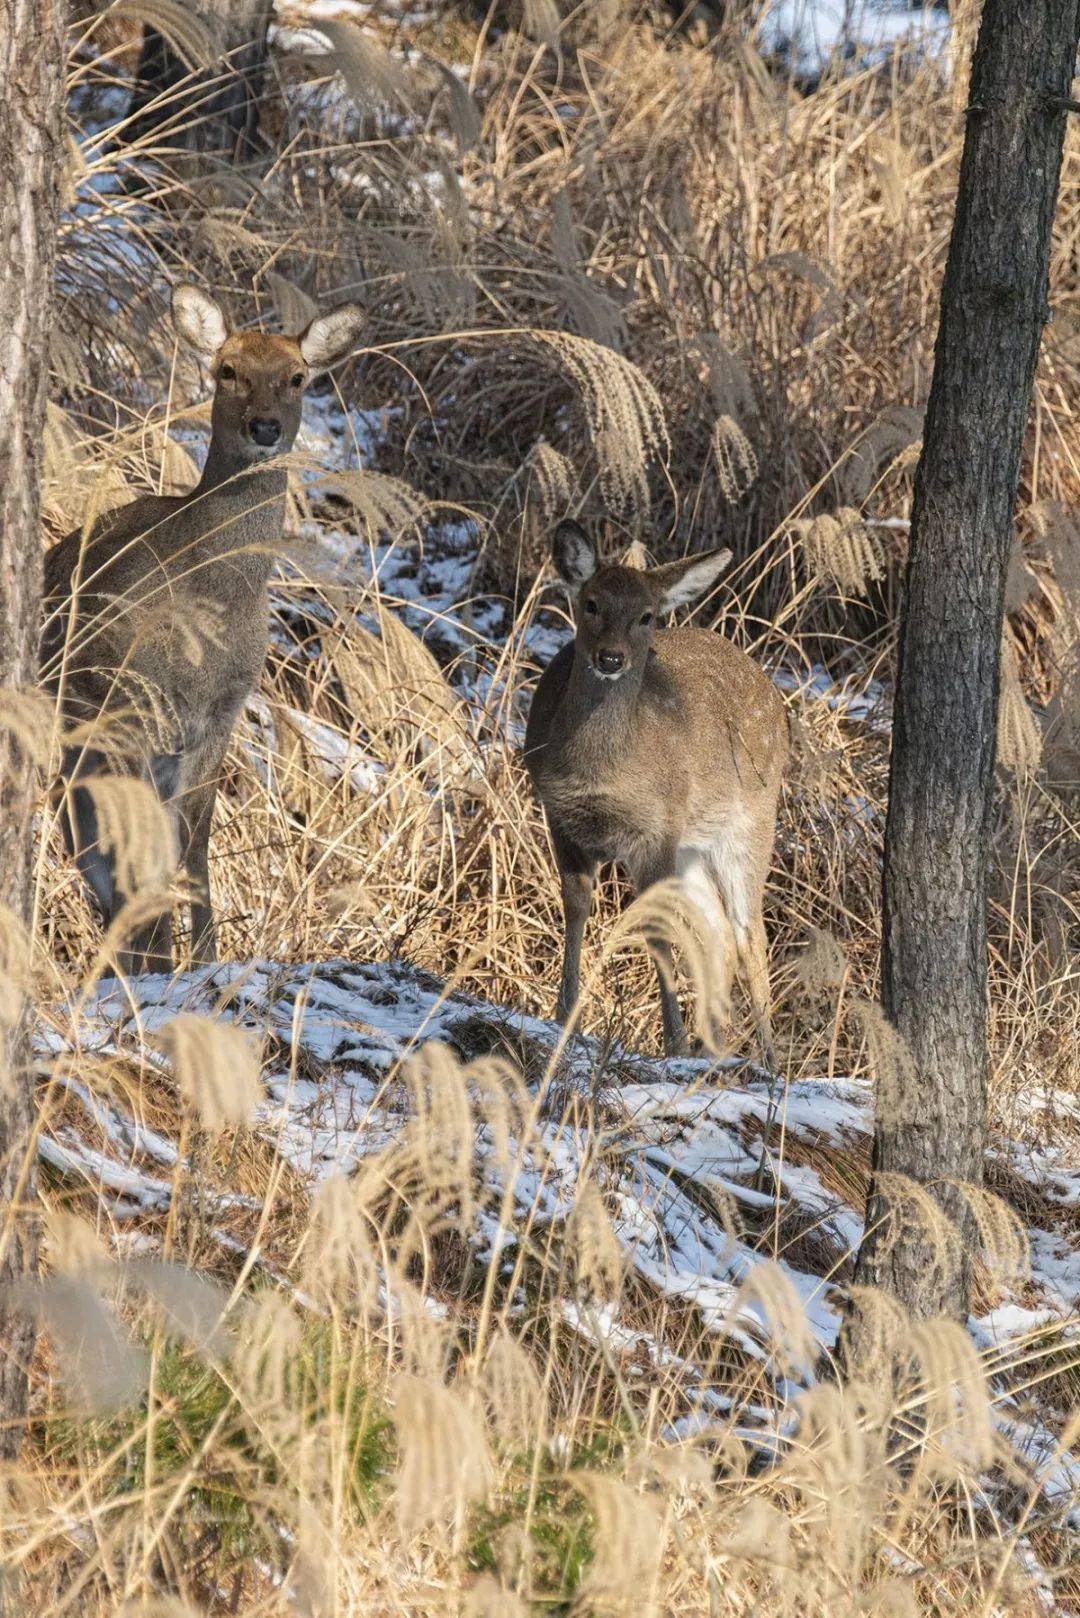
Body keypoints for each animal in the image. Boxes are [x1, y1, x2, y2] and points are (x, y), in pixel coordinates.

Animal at [42, 281, 365, 970]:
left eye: (297, 377)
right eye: (227, 370)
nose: (265, 427)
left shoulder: (222, 713)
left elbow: (194, 843)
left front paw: (207, 957)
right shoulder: (130, 702)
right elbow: (145, 850)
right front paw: (166, 966)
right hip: (84, 718)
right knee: (86, 839)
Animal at [524, 517, 786, 1067]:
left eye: (646, 616)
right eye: (591, 603)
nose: (611, 657)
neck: (600, 773)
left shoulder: (659, 824)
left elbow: (659, 930)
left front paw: (674, 1041)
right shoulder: (560, 817)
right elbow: (576, 907)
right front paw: (566, 1016)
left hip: (752, 819)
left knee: (750, 932)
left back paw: (771, 1063)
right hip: (693, 845)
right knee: (716, 934)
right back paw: (714, 1049)